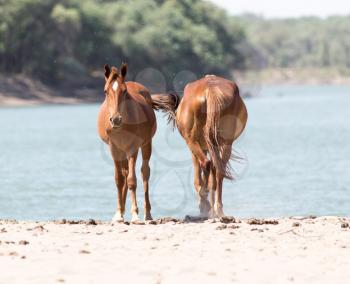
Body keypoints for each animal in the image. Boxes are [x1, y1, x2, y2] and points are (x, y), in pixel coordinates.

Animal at [98, 63, 170, 223]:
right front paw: (119, 214)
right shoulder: (114, 149)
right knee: (124, 173)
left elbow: (132, 180)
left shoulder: (133, 148)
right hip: (122, 151)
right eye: (105, 91)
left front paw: (135, 215)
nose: (116, 119)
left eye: (124, 92)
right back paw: (120, 212)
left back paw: (148, 214)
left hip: (146, 144)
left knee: (144, 172)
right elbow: (119, 180)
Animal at [152, 74, 247, 216]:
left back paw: (205, 205)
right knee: (219, 170)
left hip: (192, 142)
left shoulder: (197, 147)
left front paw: (205, 204)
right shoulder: (210, 147)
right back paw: (218, 209)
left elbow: (199, 179)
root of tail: (210, 90)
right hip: (226, 144)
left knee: (206, 165)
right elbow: (213, 176)